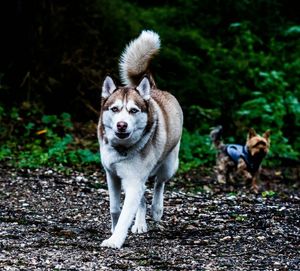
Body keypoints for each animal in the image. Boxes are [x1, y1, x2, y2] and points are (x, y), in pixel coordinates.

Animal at [98, 30, 183, 250]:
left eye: (133, 110)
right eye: (115, 109)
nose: (121, 125)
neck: (122, 149)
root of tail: (152, 89)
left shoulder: (135, 182)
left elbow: (126, 213)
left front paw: (116, 239)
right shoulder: (112, 176)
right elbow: (115, 208)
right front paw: (114, 230)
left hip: (169, 164)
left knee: (159, 183)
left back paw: (157, 209)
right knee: (143, 197)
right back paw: (140, 223)